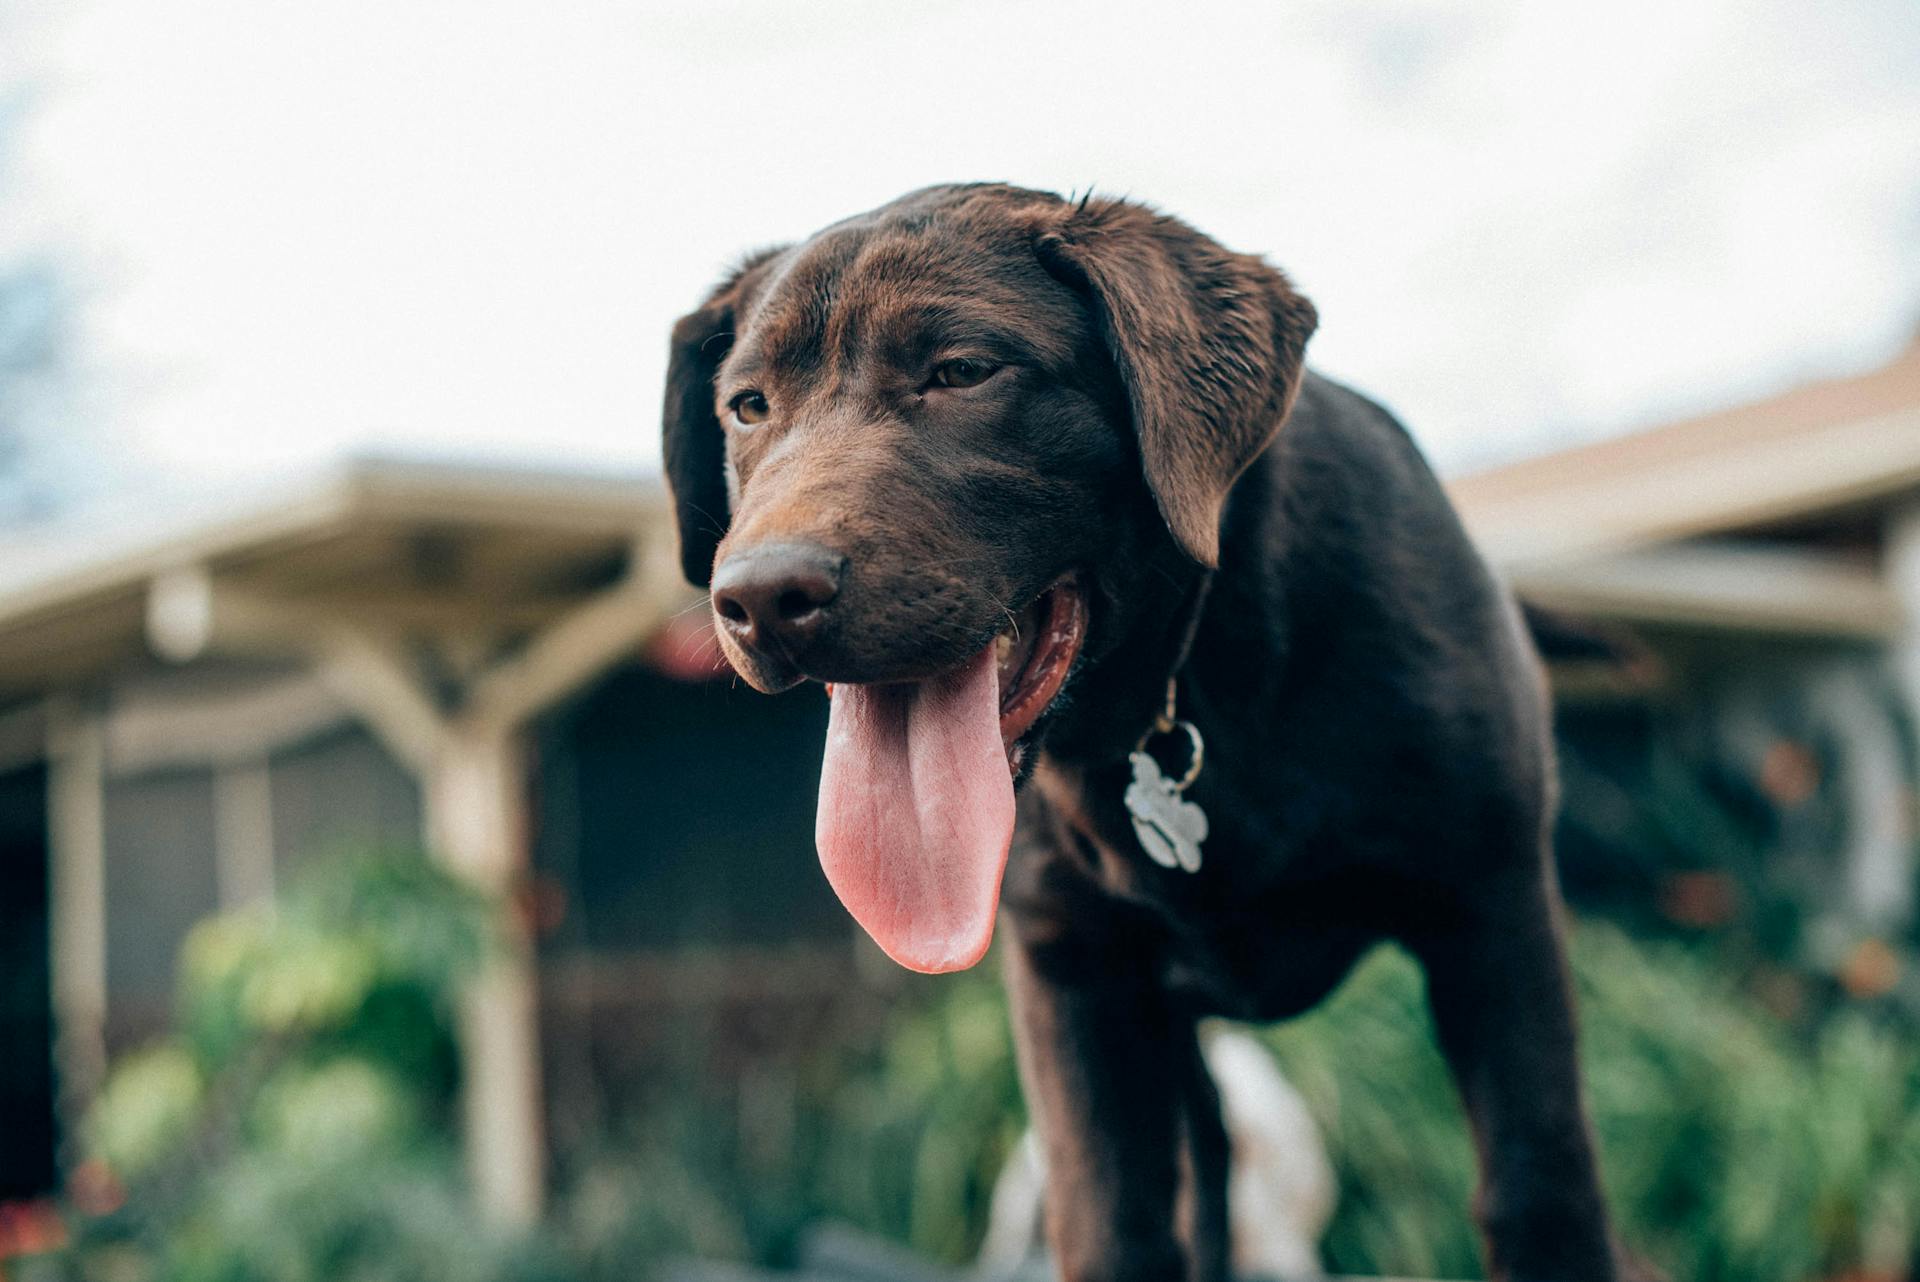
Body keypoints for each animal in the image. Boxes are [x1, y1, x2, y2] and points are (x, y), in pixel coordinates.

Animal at [660, 182, 1620, 1282]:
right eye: (748, 406)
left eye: (962, 371)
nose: (760, 599)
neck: (1191, 683)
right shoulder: (1075, 976)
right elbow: (1116, 1224)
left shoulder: (1493, 908)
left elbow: (1539, 1187)